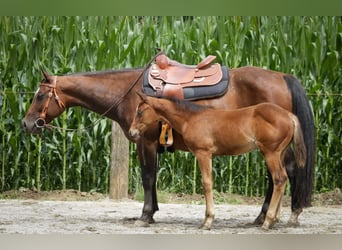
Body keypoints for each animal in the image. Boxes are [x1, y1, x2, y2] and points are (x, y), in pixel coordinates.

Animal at [129, 91, 308, 229]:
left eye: (140, 112)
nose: (132, 133)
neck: (192, 118)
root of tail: (289, 115)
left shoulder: (203, 153)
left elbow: (207, 183)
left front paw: (208, 221)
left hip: (271, 152)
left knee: (279, 178)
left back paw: (267, 221)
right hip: (280, 152)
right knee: (283, 178)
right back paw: (275, 220)